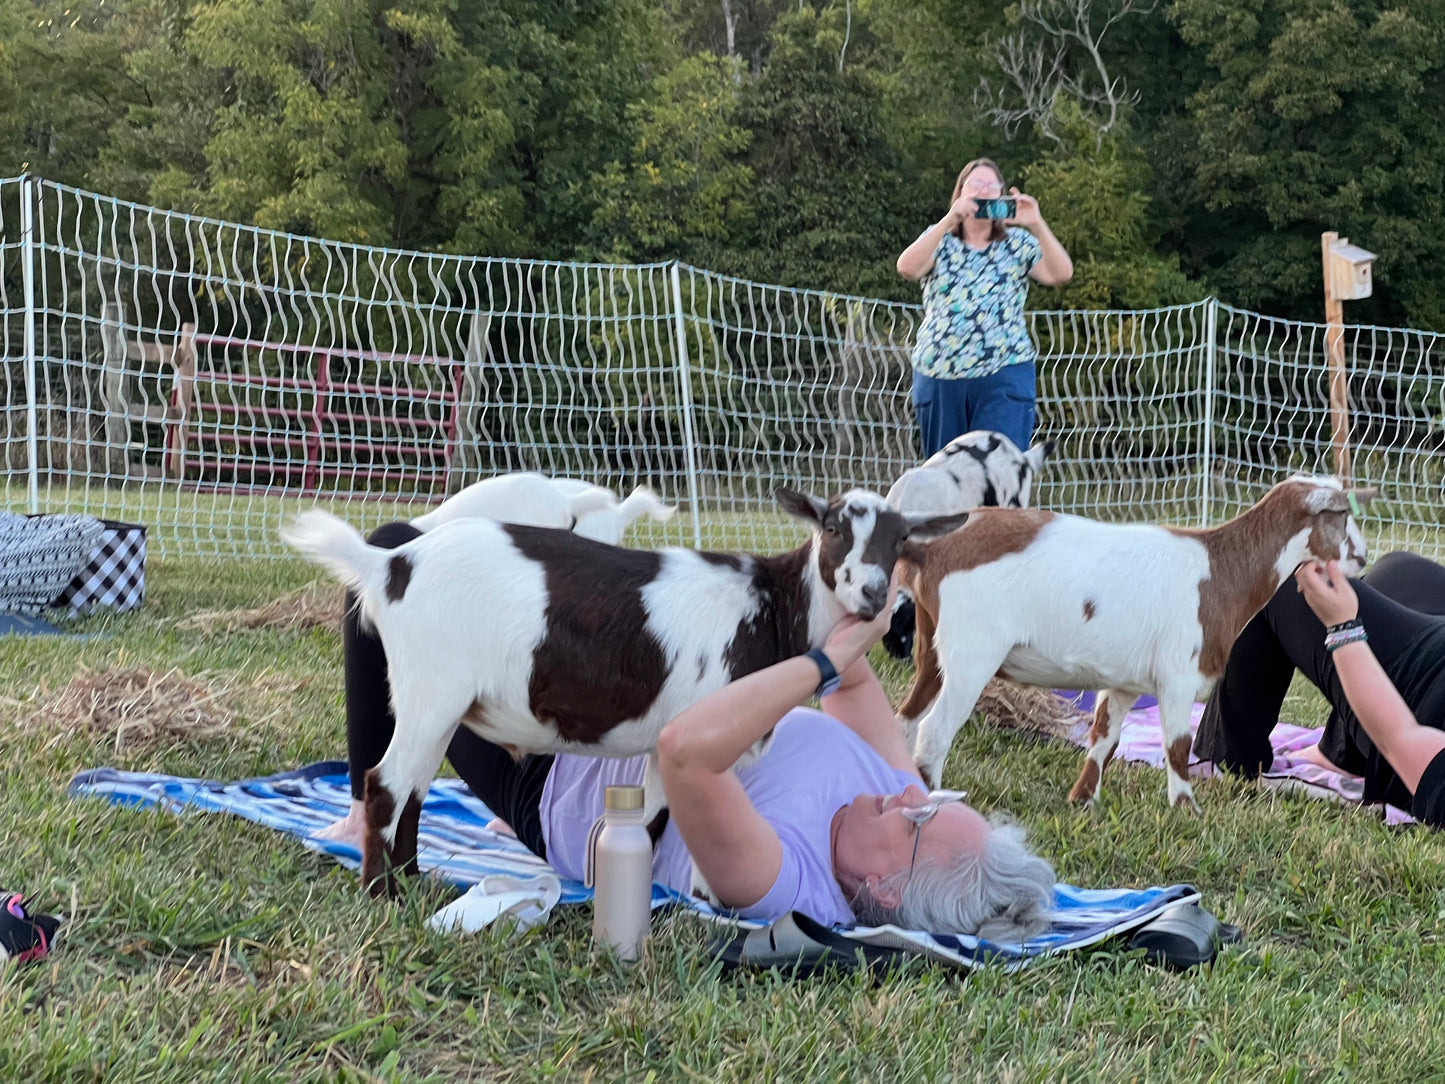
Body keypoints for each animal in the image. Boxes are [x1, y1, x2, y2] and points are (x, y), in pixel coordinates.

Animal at [280, 491, 965, 890]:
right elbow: (668, 827)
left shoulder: (667, 748)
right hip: (431, 688)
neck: (771, 609)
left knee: (414, 789)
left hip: (438, 702)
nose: (872, 593)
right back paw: (382, 895)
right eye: (834, 527)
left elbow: (660, 823)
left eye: (902, 539)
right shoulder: (690, 730)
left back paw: (416, 879)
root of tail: (390, 567)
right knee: (387, 784)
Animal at [890, 474, 1375, 809]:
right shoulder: (1178, 675)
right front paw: (1186, 809)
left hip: (932, 645)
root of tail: (930, 550)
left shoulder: (1124, 682)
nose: (1363, 558)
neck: (1221, 569)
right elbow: (1176, 746)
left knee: (906, 717)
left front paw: (1083, 801)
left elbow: (1104, 738)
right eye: (1340, 517)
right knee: (934, 730)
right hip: (973, 651)